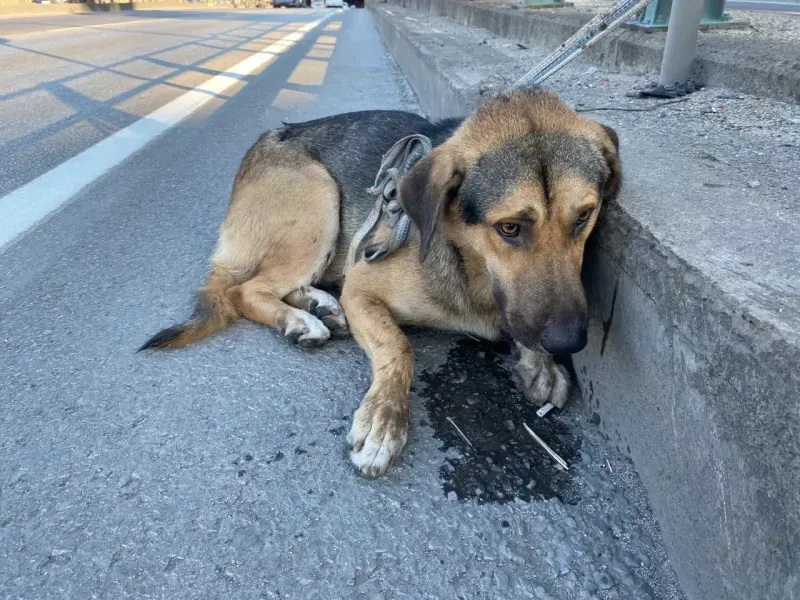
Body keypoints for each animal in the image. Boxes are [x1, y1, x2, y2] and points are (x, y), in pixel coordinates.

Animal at [142, 88, 620, 478]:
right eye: (509, 228)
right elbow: (398, 347)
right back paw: (299, 321)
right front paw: (384, 418)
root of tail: (274, 134)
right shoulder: (362, 287)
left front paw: (541, 362)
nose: (569, 341)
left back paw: (318, 307)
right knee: (245, 289)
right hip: (319, 200)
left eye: (584, 217)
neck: (468, 262)